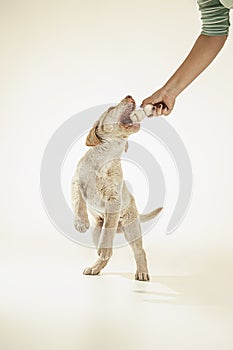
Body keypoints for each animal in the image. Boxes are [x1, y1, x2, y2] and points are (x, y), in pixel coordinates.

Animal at [71, 95, 162, 282]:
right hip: (96, 231)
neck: (106, 156)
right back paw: (95, 267)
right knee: (106, 255)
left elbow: (109, 230)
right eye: (111, 108)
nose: (129, 96)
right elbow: (78, 202)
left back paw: (142, 272)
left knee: (139, 250)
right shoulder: (76, 181)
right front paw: (81, 222)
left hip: (132, 227)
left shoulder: (114, 199)